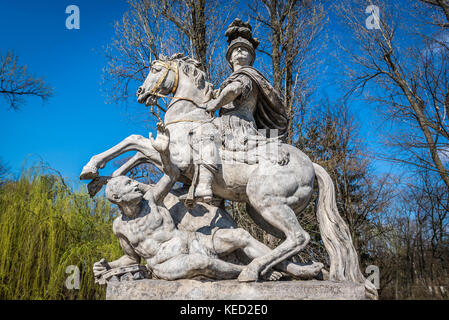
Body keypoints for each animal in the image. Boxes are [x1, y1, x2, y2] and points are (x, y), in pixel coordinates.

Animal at [79, 53, 374, 296]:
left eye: (155, 69)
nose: (141, 92)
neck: (188, 115)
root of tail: (313, 165)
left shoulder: (176, 160)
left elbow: (135, 140)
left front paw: (91, 170)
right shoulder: (169, 163)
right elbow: (136, 152)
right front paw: (101, 180)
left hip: (267, 202)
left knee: (298, 237)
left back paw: (253, 272)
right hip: (263, 211)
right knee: (288, 240)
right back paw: (303, 271)